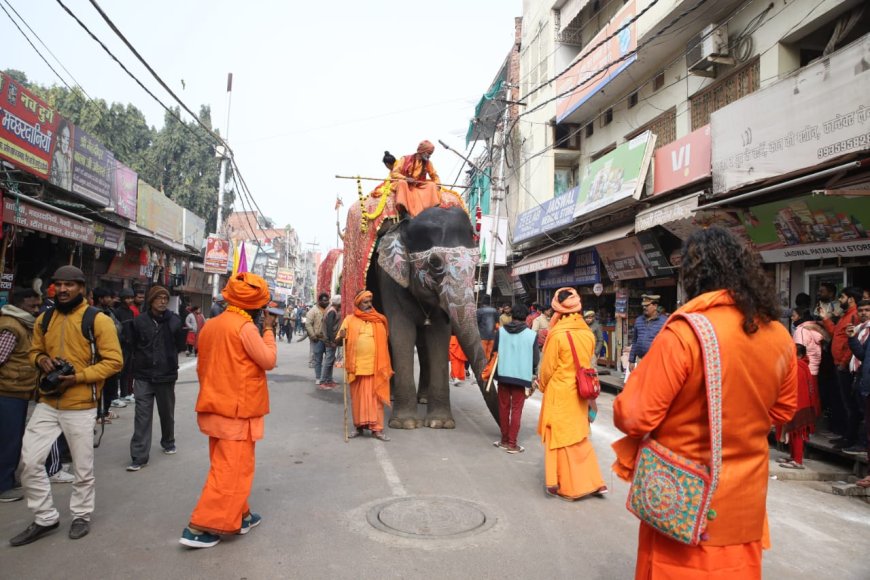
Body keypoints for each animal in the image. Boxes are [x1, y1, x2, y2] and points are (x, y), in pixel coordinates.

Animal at [372, 206, 500, 428]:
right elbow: (401, 333)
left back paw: (422, 399)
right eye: (434, 263)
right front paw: (405, 424)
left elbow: (439, 336)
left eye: (477, 262)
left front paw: (440, 423)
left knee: (423, 346)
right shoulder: (389, 279)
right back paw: (393, 397)